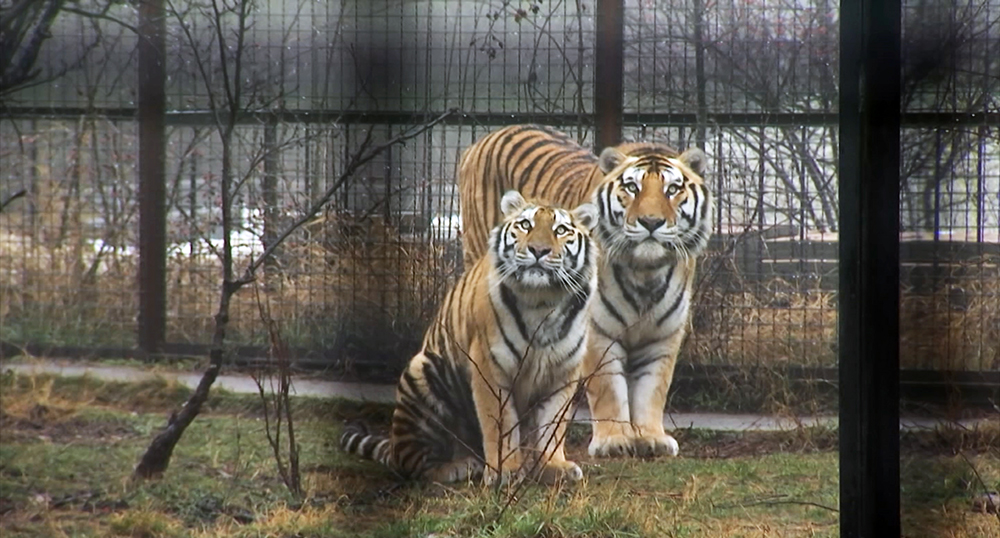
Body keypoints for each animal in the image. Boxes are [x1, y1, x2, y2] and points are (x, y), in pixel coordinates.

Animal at [340, 191, 596, 484]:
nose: (539, 250)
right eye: (525, 225)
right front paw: (504, 471)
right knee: (412, 463)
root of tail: (392, 446)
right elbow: (500, 424)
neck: (542, 300)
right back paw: (459, 466)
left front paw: (554, 467)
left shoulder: (563, 373)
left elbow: (552, 427)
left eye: (561, 230)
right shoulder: (490, 366)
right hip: (423, 371)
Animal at [458, 124, 716, 456]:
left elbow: (652, 388)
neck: (646, 271)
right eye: (632, 188)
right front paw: (614, 441)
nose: (651, 222)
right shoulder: (597, 331)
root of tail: (489, 136)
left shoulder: (663, 335)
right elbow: (608, 387)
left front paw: (651, 437)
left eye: (672, 190)